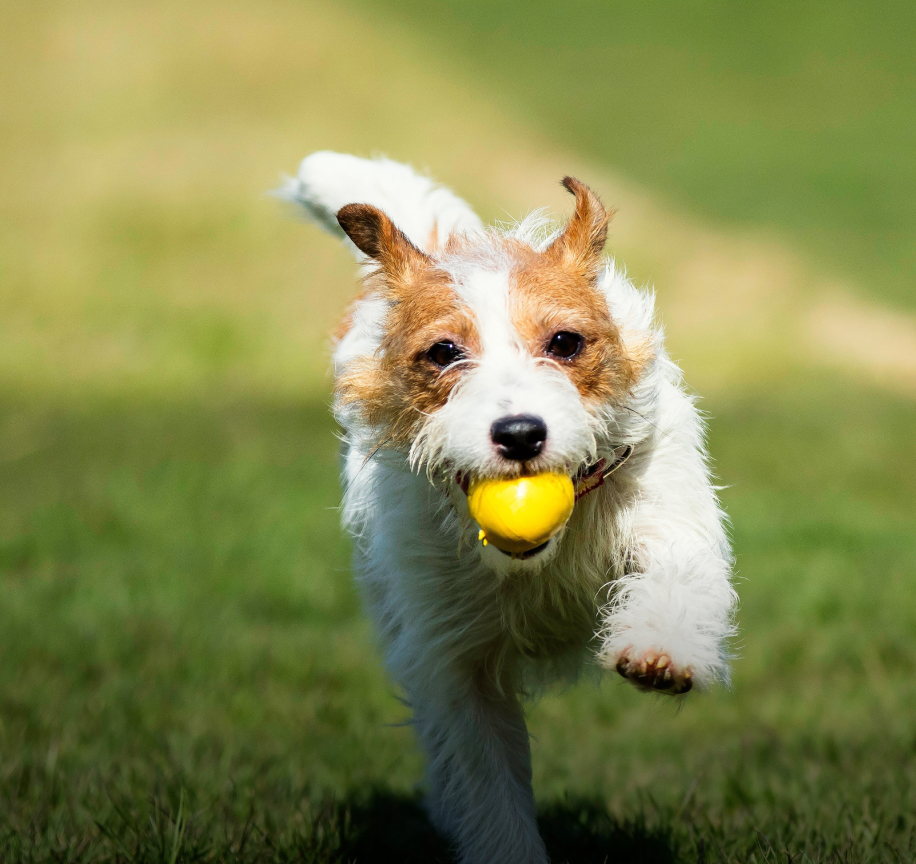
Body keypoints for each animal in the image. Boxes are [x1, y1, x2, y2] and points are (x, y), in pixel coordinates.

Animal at [280, 152, 736, 860]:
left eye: (565, 342)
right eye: (444, 352)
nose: (521, 433)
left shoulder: (666, 512)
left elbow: (676, 576)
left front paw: (663, 651)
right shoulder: (452, 661)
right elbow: (486, 785)